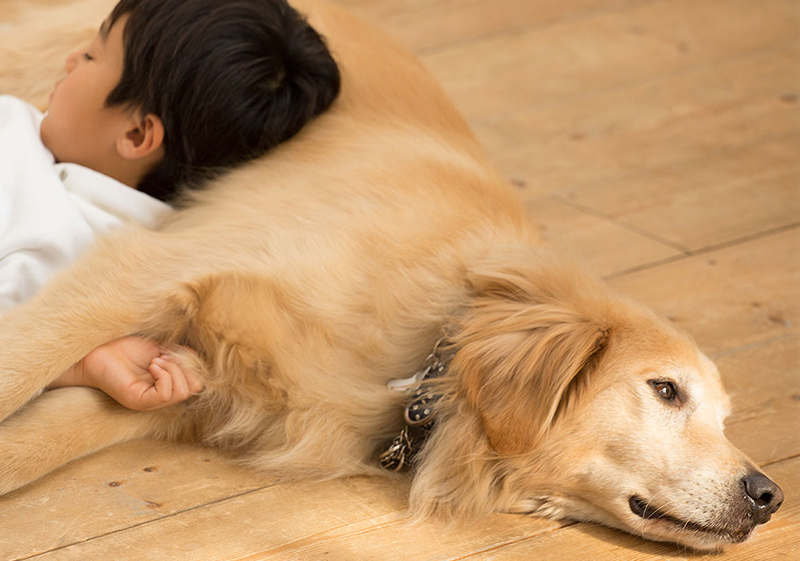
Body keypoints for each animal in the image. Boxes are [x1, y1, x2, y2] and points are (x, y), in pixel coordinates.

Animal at [0, 0, 780, 548]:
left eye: (724, 416)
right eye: (666, 390)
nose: (769, 494)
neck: (439, 342)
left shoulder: (183, 382)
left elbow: (41, 431)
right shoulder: (141, 271)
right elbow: (21, 367)